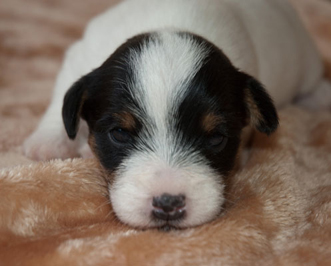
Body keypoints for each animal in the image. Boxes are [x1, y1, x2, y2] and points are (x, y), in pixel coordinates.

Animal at [23, 0, 331, 229]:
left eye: (216, 138)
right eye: (120, 134)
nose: (168, 204)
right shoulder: (80, 56)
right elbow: (63, 93)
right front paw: (49, 141)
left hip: (306, 61)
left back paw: (319, 97)